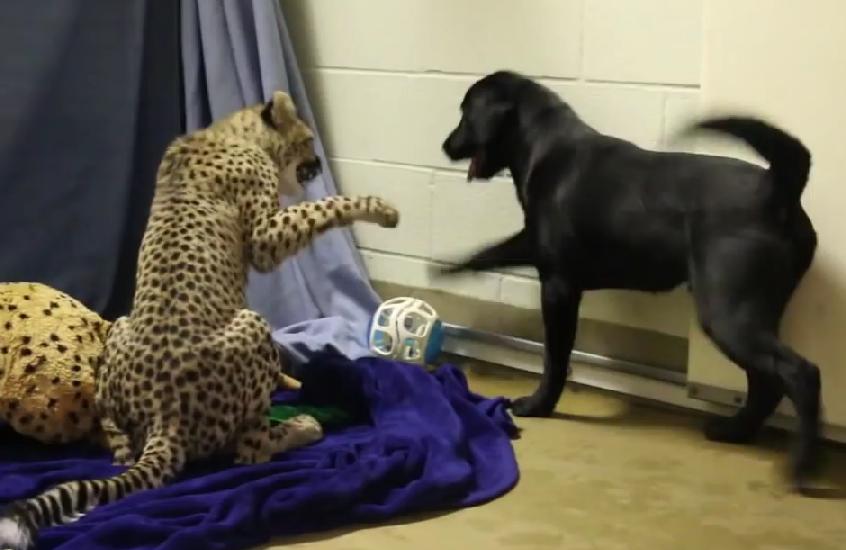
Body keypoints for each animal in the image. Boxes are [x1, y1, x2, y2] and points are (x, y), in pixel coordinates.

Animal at [0, 92, 400, 548]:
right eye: (306, 140)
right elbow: (322, 207)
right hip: (252, 325)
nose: (315, 164)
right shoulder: (265, 239)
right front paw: (380, 209)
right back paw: (302, 426)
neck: (229, 131)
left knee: (120, 446)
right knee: (250, 452)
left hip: (120, 327)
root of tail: (163, 416)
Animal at [444, 71, 820, 490]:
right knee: (765, 382)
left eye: (465, 112)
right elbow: (491, 250)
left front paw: (538, 405)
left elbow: (555, 358)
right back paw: (735, 431)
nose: (446, 146)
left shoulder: (558, 285)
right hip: (747, 315)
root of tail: (777, 187)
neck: (545, 145)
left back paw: (802, 466)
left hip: (728, 312)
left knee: (799, 374)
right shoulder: (535, 248)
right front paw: (450, 267)